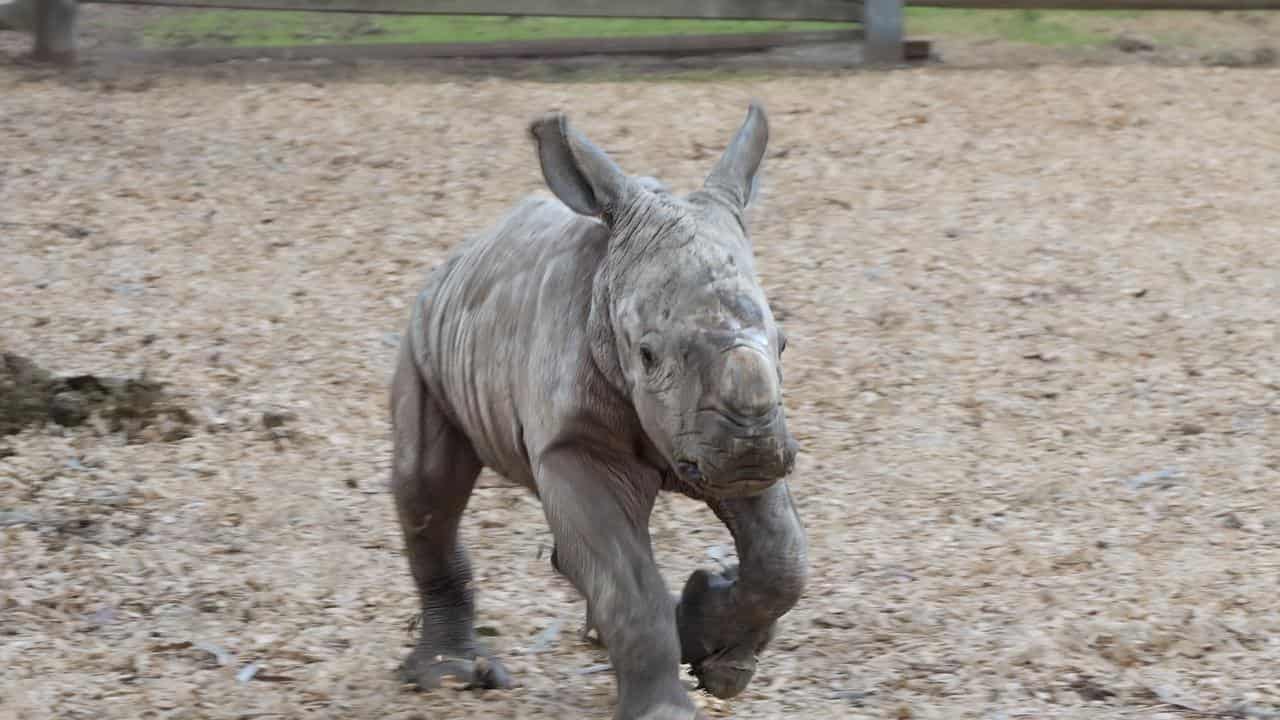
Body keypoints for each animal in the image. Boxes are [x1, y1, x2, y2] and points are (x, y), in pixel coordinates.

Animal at [389, 101, 808, 717]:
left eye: (783, 345)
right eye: (647, 354)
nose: (750, 453)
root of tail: (460, 253)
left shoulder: (718, 436)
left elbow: (783, 554)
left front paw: (714, 651)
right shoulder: (574, 442)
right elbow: (626, 580)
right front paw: (666, 705)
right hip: (423, 334)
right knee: (426, 487)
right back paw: (449, 678)